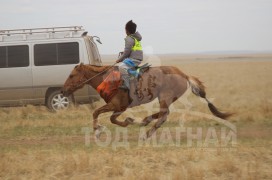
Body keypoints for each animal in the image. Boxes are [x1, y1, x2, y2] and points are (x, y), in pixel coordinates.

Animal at [61, 62, 232, 139]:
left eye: (71, 75)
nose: (63, 90)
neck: (109, 80)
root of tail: (183, 74)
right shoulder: (119, 107)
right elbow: (112, 119)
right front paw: (129, 121)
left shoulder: (116, 105)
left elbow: (97, 113)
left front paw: (97, 130)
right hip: (165, 98)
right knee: (162, 114)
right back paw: (144, 121)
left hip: (165, 97)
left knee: (163, 115)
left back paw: (147, 132)